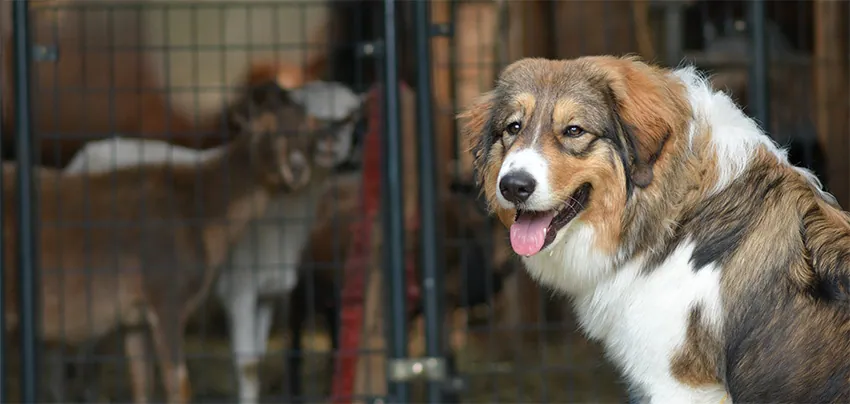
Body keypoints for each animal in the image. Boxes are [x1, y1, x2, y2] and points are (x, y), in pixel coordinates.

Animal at [4, 80, 338, 404]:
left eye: (309, 131)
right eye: (265, 129)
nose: (297, 170)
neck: (200, 211)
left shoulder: (135, 317)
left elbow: (142, 385)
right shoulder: (166, 296)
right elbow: (180, 386)